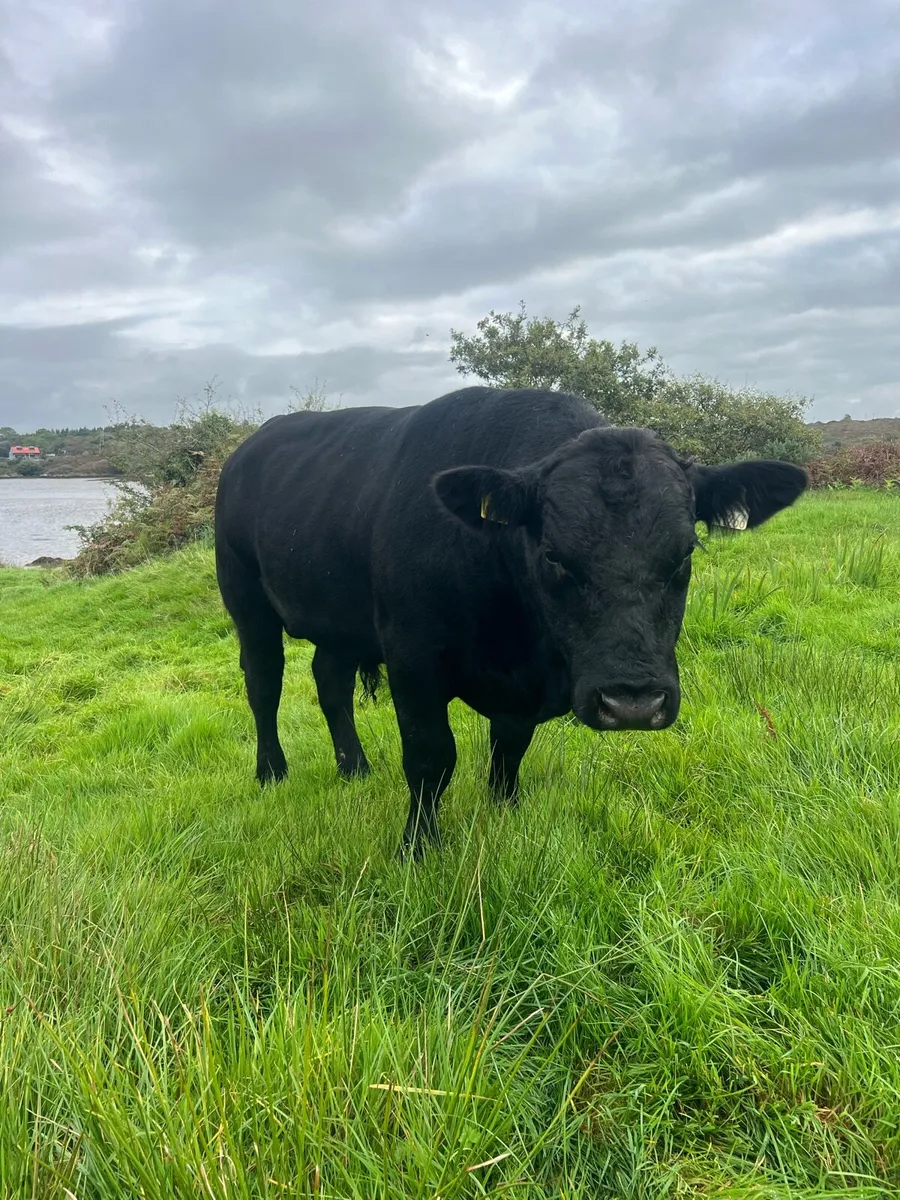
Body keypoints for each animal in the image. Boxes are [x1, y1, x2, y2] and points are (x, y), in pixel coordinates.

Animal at [214, 386, 807, 857]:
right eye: (552, 555)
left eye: (685, 553)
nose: (633, 703)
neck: (524, 644)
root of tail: (250, 445)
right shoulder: (413, 658)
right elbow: (431, 757)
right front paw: (418, 848)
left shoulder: (522, 690)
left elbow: (509, 750)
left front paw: (507, 814)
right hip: (245, 596)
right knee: (264, 684)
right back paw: (272, 772)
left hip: (339, 618)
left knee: (330, 682)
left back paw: (354, 767)